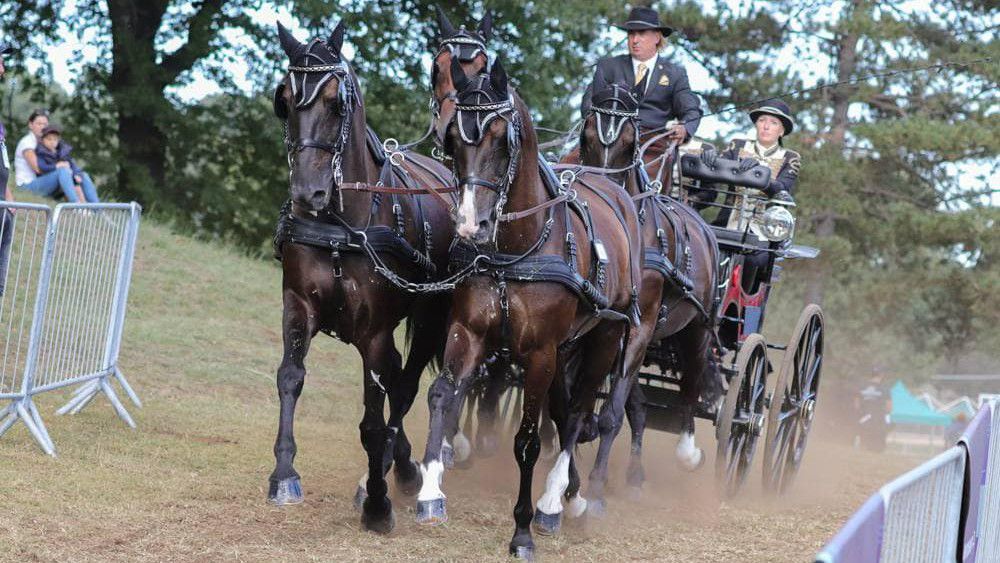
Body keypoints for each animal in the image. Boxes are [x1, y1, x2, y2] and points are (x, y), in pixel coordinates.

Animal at [268, 20, 456, 532]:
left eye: (337, 102)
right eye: (284, 101)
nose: (307, 194)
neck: (341, 225)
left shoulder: (374, 330)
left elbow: (373, 420)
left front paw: (377, 502)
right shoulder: (298, 304)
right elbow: (290, 378)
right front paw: (284, 474)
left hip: (430, 319)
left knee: (405, 387)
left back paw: (400, 470)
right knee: (396, 377)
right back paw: (404, 465)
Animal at [412, 58, 640, 560]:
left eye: (503, 139)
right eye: (452, 139)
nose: (469, 225)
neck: (514, 250)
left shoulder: (540, 352)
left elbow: (529, 440)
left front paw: (521, 529)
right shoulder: (469, 332)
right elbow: (442, 395)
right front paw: (430, 491)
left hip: (604, 338)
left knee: (577, 415)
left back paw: (554, 501)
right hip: (565, 348)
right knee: (563, 409)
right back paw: (571, 492)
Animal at [576, 77, 724, 508]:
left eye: (630, 140)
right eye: (586, 134)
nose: (601, 197)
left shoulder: (637, 328)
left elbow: (610, 412)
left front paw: (593, 488)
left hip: (697, 329)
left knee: (691, 387)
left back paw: (689, 453)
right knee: (639, 406)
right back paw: (635, 475)